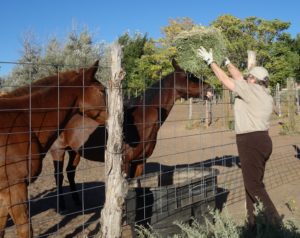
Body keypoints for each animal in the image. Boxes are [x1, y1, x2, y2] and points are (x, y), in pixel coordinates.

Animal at [51, 58, 211, 208]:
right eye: (189, 76)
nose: (209, 88)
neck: (141, 120)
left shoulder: (140, 161)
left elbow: (137, 184)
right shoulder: (125, 162)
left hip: (75, 151)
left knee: (70, 172)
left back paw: (78, 202)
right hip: (58, 150)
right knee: (58, 175)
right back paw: (61, 205)